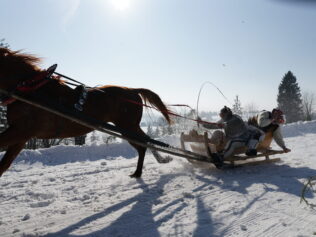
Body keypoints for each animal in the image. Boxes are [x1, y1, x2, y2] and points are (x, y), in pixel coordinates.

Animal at [0, 48, 170, 178]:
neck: (30, 90)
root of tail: (132, 90)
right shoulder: (21, 135)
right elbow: (4, 164)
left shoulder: (22, 131)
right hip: (128, 127)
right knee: (145, 142)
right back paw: (149, 165)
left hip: (127, 127)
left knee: (143, 144)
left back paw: (143, 169)